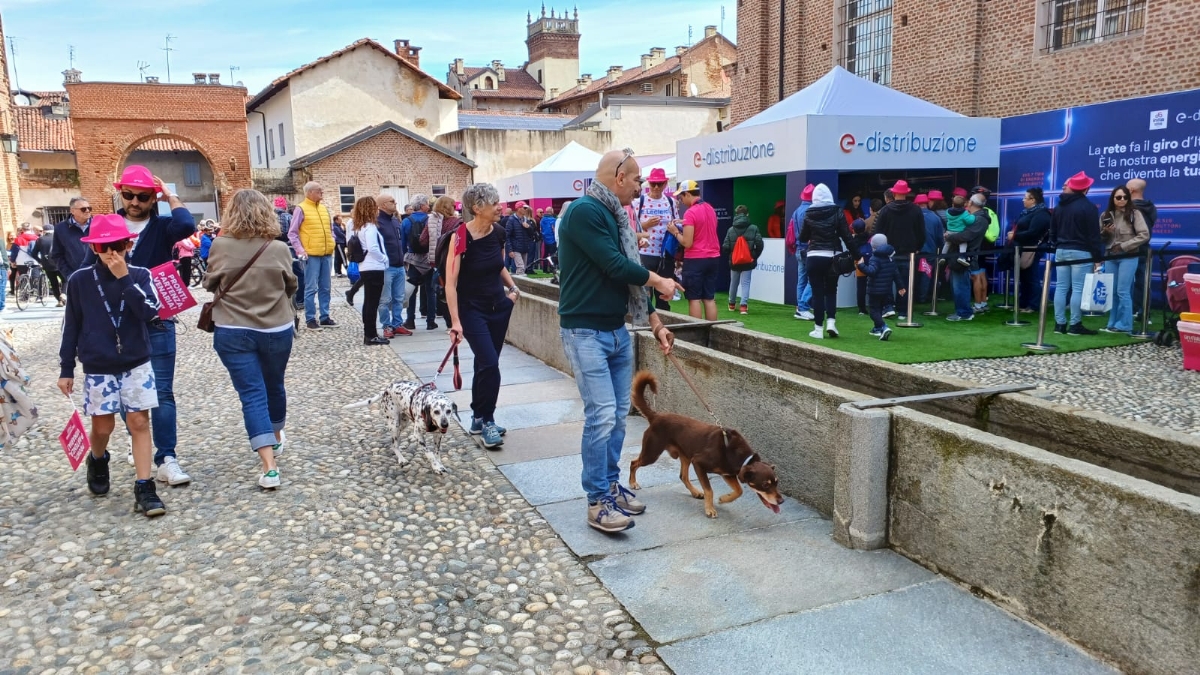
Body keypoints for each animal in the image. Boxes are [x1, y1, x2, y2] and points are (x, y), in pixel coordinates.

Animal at [628, 369, 787, 516]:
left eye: (777, 482)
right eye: (765, 485)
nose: (781, 501)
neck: (736, 454)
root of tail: (656, 416)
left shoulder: (727, 474)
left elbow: (739, 490)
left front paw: (724, 498)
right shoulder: (699, 463)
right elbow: (709, 490)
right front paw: (710, 509)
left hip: (685, 455)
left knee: (683, 476)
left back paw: (695, 492)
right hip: (652, 453)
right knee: (634, 463)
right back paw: (633, 483)